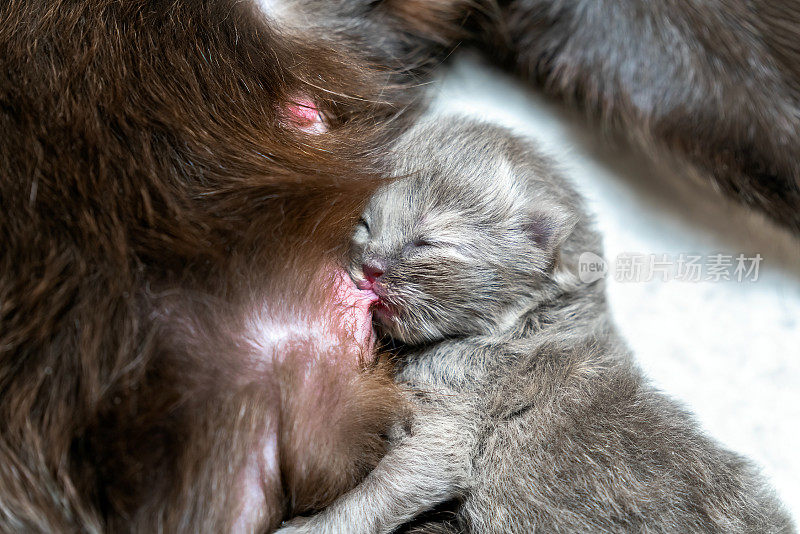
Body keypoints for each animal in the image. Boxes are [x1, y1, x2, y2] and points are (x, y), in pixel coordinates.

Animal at [276, 118, 792, 534]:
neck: (528, 324)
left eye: (429, 241)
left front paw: (307, 527)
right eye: (364, 224)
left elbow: (374, 496)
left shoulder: (452, 426)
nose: (370, 267)